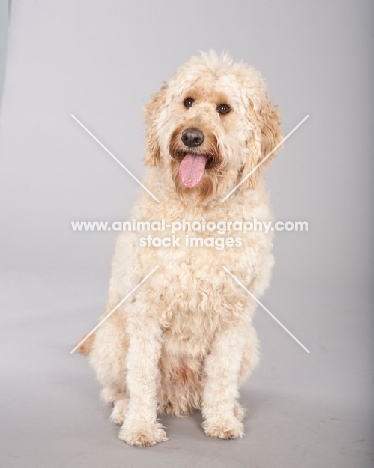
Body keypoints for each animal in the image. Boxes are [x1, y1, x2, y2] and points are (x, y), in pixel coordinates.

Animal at [79, 51, 284, 446]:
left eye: (224, 108)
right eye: (187, 102)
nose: (191, 136)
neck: (198, 207)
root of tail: (178, 397)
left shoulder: (234, 318)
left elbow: (221, 376)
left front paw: (221, 420)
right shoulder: (145, 309)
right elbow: (142, 375)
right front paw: (140, 427)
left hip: (249, 344)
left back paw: (228, 408)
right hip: (112, 337)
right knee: (119, 387)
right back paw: (125, 408)